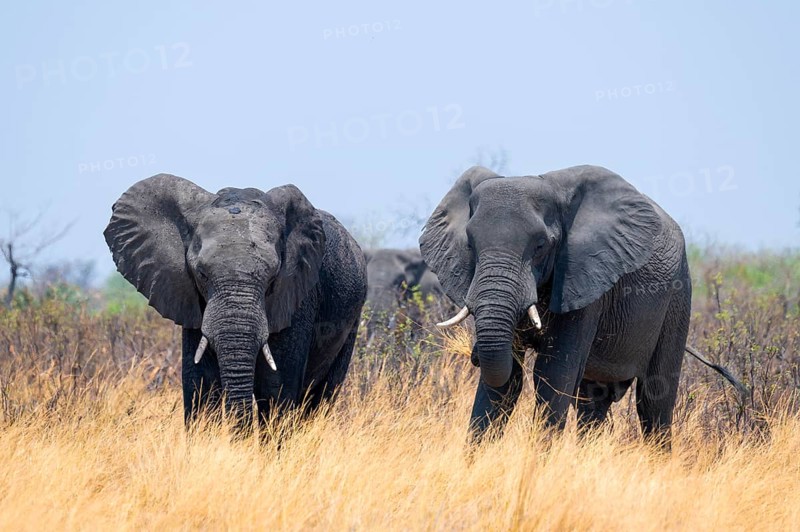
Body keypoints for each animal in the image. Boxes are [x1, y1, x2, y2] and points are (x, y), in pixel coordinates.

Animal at [104, 173, 367, 432]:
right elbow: (200, 382)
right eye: (201, 274)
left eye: (273, 277)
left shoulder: (298, 296)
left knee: (320, 395)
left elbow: (275, 387)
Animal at [420, 165, 745, 445]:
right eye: (470, 245)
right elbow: (505, 380)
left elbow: (553, 374)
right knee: (593, 401)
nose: (473, 356)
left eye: (541, 246)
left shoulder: (584, 276)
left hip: (678, 297)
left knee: (654, 400)